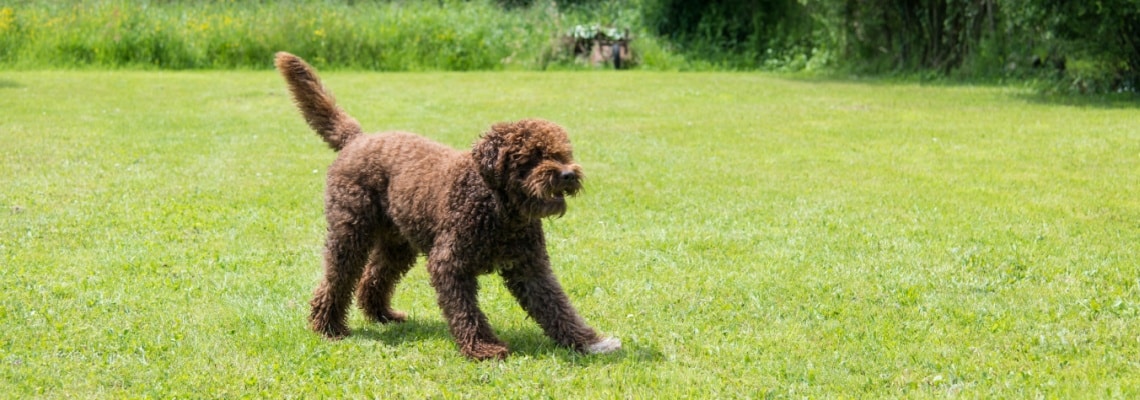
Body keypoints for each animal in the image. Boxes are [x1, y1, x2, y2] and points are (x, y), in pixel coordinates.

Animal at [272, 51, 620, 362]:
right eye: (531, 156)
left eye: (562, 154)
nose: (567, 174)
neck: (498, 209)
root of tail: (358, 138)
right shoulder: (449, 262)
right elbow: (465, 310)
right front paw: (483, 348)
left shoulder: (530, 266)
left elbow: (556, 306)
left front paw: (589, 342)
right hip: (350, 230)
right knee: (337, 278)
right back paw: (327, 326)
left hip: (398, 243)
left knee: (374, 276)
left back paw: (382, 314)